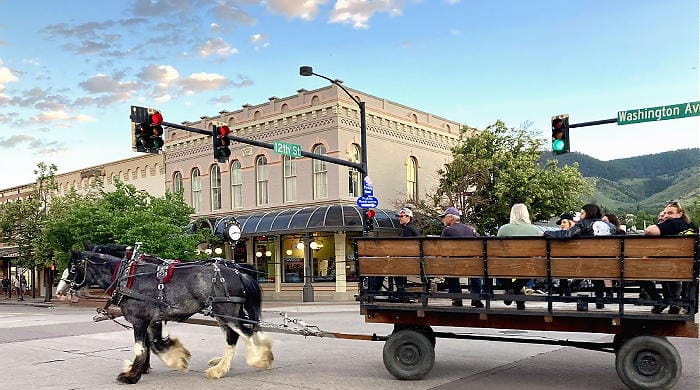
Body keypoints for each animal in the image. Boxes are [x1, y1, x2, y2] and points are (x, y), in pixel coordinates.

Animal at [65, 248, 274, 382]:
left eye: (73, 268)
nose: (63, 288)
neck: (127, 278)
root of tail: (239, 273)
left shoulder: (139, 320)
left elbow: (140, 348)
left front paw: (131, 376)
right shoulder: (152, 321)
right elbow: (155, 345)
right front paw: (177, 358)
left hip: (228, 313)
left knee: (242, 334)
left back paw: (258, 359)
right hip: (225, 314)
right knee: (235, 336)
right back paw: (221, 367)